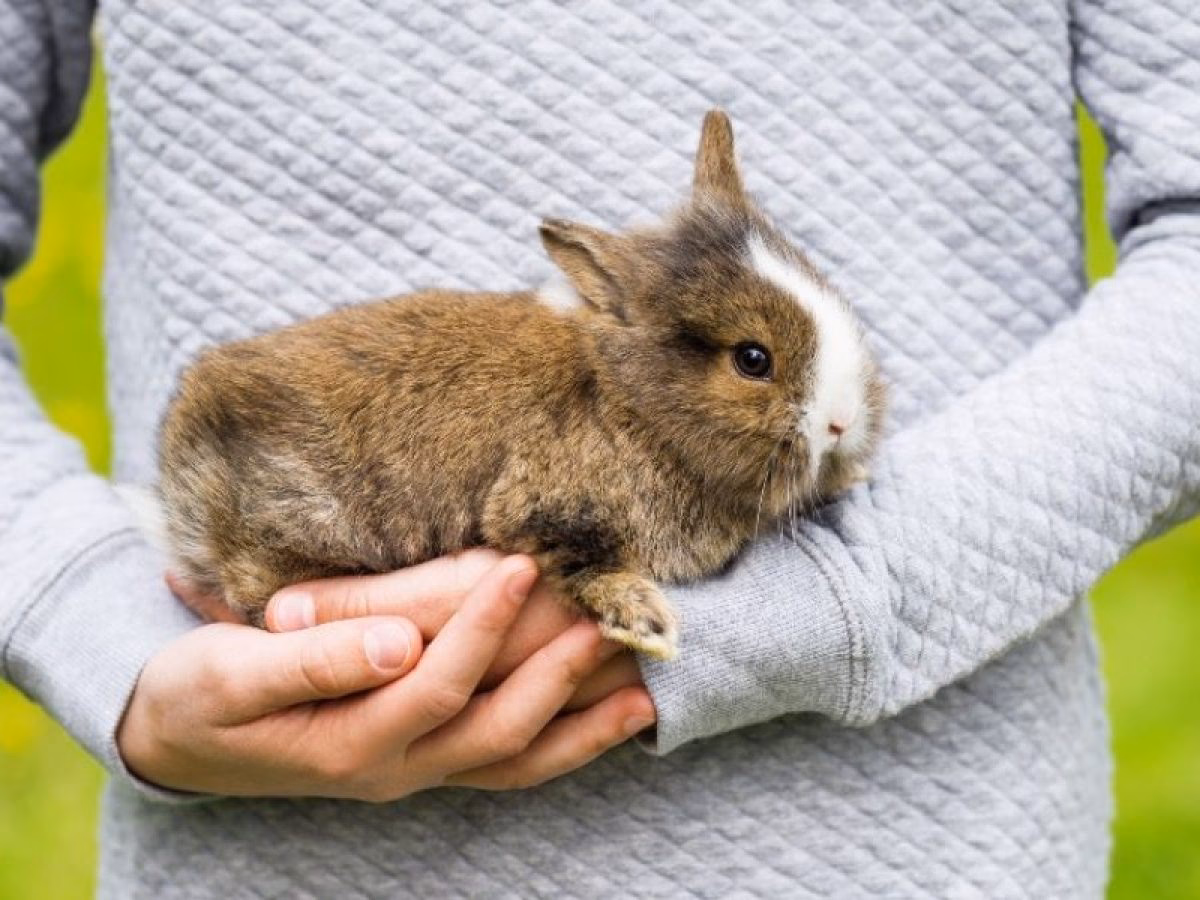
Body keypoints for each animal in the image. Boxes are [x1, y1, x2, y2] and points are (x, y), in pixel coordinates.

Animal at [157, 110, 885, 660]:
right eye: (753, 359)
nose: (842, 422)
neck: (627, 401)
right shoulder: (546, 507)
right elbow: (585, 564)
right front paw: (646, 627)